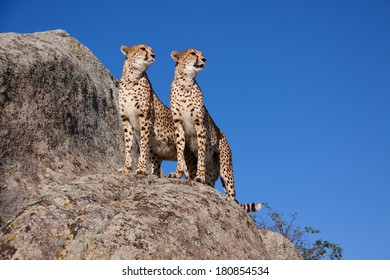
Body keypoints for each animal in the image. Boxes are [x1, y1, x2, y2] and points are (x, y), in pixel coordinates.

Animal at [116, 44, 195, 176]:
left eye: (152, 50)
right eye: (142, 49)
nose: (153, 55)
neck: (131, 79)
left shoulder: (145, 118)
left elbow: (143, 144)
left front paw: (141, 168)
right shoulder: (126, 119)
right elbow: (128, 145)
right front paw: (126, 167)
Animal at [169, 48, 260, 212]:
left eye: (201, 53)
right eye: (193, 53)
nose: (204, 59)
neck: (185, 83)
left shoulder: (200, 126)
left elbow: (201, 153)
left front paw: (199, 176)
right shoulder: (178, 126)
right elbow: (180, 151)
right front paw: (178, 173)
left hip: (226, 169)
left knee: (232, 193)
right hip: (213, 174)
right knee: (211, 184)